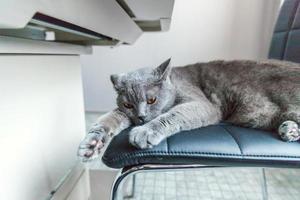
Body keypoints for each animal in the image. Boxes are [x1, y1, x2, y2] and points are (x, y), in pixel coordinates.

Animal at [78, 58, 300, 162]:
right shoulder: (123, 113)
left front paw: (144, 132)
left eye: (151, 100)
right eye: (128, 105)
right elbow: (108, 118)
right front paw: (91, 144)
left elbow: (174, 114)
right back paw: (289, 130)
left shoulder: (202, 104)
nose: (141, 117)